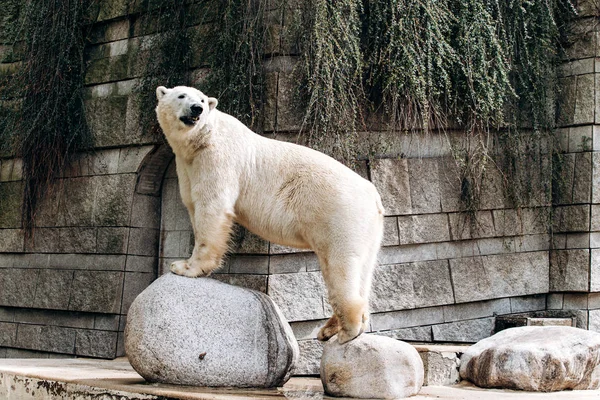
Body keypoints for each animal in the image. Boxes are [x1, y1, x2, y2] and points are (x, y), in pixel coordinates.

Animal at [155, 86, 384, 342]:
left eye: (203, 100)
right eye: (181, 96)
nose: (197, 109)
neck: (201, 140)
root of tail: (373, 195)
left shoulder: (217, 159)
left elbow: (212, 208)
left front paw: (185, 267)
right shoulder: (188, 165)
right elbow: (193, 205)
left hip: (340, 215)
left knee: (341, 266)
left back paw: (347, 331)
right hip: (368, 230)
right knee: (362, 270)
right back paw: (329, 329)